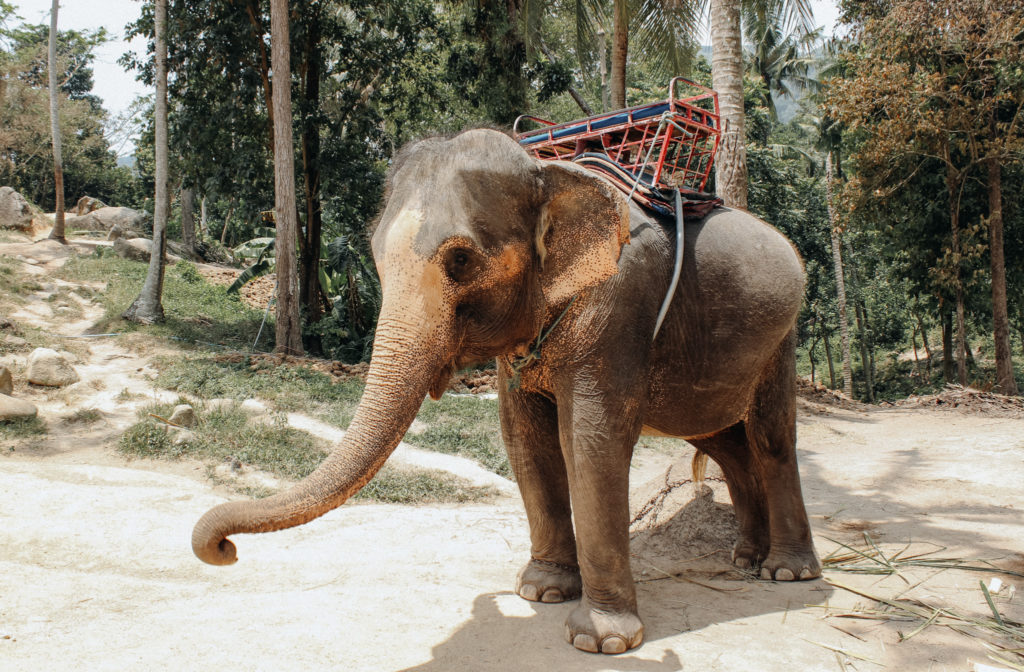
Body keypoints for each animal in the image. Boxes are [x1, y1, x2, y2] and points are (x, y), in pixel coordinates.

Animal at [188, 126, 819, 651]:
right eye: (374, 258)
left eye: (461, 260)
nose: (224, 549)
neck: (547, 171)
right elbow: (524, 439)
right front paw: (540, 592)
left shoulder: (621, 305)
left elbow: (591, 440)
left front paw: (601, 640)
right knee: (725, 442)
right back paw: (745, 558)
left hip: (782, 336)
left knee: (769, 438)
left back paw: (785, 572)